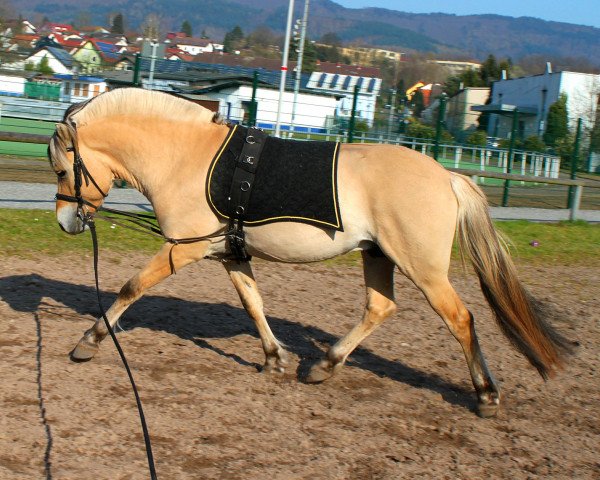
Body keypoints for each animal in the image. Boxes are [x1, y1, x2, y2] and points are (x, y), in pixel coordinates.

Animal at [48, 89, 572, 416]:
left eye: (60, 170)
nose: (65, 222)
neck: (185, 157)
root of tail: (447, 176)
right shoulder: (227, 251)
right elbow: (253, 303)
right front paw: (275, 358)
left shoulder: (183, 250)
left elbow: (131, 287)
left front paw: (88, 342)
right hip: (377, 255)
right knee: (380, 307)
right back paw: (324, 365)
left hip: (422, 267)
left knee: (460, 319)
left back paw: (485, 395)